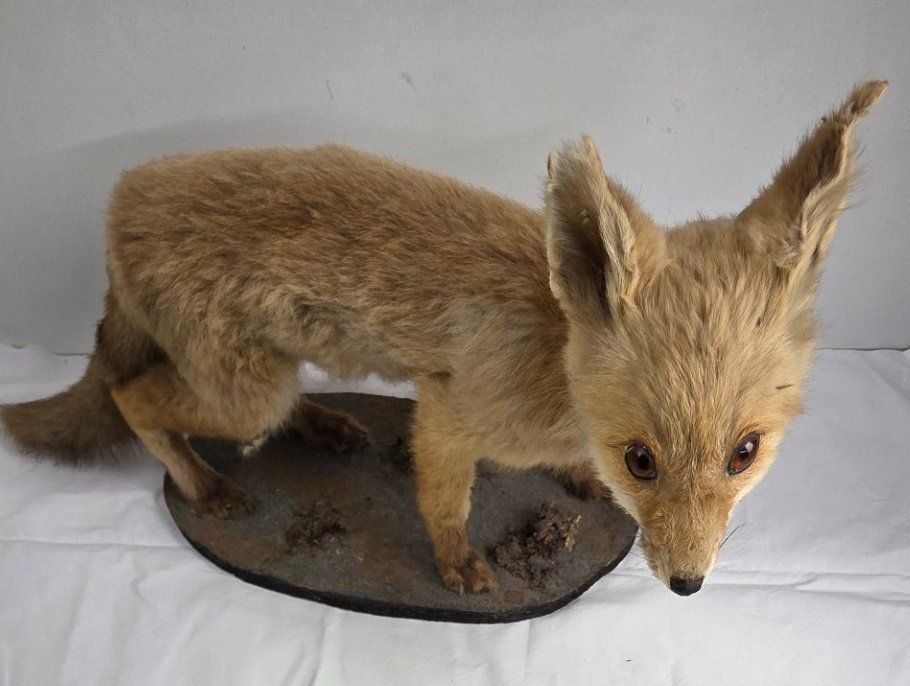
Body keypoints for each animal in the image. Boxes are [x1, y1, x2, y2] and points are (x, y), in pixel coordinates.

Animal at [1, 81, 886, 596]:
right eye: (643, 460)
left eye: (745, 454)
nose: (688, 584)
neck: (555, 371)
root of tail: (121, 203)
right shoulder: (450, 412)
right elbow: (443, 501)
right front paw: (458, 561)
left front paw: (577, 480)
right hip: (242, 394)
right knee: (131, 397)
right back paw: (205, 484)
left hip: (264, 371)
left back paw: (327, 424)